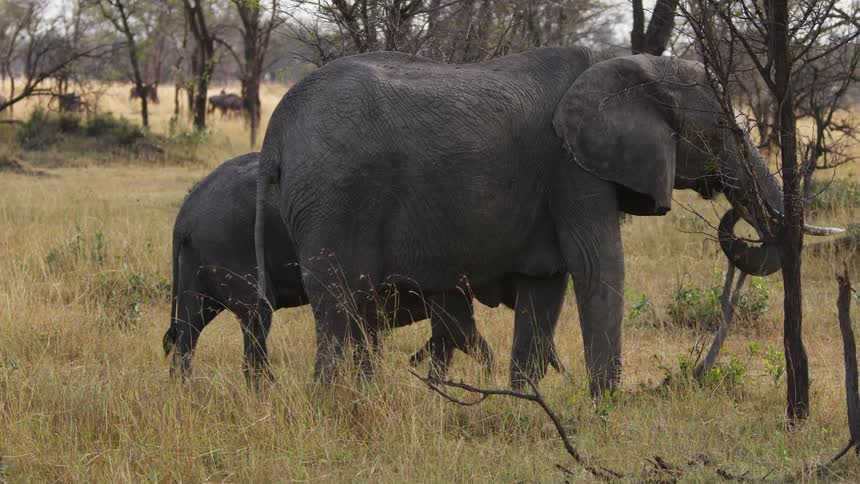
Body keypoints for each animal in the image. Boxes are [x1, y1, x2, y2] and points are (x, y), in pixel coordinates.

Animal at [163, 152, 527, 382]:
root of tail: (185, 215)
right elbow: (456, 326)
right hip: (233, 249)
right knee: (255, 317)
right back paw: (268, 391)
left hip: (198, 262)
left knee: (190, 326)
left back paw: (184, 392)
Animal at [255, 47, 840, 396]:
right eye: (723, 131)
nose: (729, 203)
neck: (638, 67)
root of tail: (277, 130)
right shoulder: (573, 168)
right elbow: (598, 266)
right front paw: (606, 409)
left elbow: (546, 287)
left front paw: (525, 402)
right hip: (335, 196)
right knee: (340, 306)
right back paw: (339, 407)